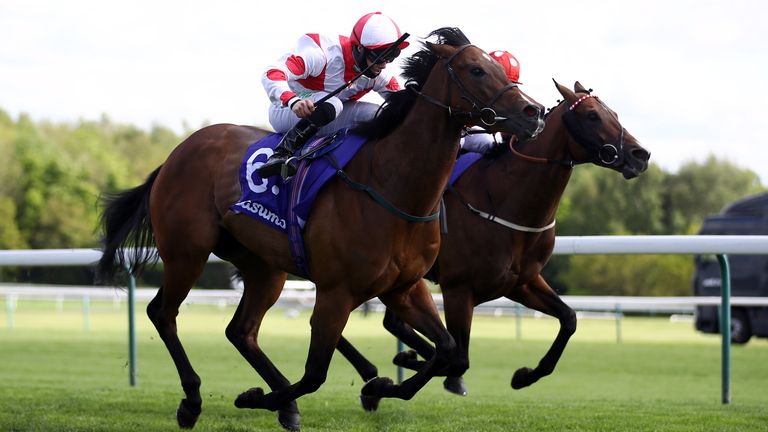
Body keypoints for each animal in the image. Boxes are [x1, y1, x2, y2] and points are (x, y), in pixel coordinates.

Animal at [93, 27, 544, 432]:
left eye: (499, 68)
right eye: (476, 70)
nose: (533, 112)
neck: (392, 186)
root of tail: (176, 153)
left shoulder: (405, 287)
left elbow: (450, 351)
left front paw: (379, 387)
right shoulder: (336, 292)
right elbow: (314, 375)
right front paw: (257, 397)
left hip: (263, 266)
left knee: (241, 331)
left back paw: (280, 402)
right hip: (187, 251)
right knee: (163, 313)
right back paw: (192, 400)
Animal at [334, 79, 648, 404]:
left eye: (614, 113)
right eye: (592, 115)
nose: (641, 155)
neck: (503, 200)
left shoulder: (521, 281)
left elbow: (569, 318)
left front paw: (524, 376)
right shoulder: (459, 289)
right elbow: (459, 357)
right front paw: (388, 383)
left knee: (391, 323)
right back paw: (375, 371)